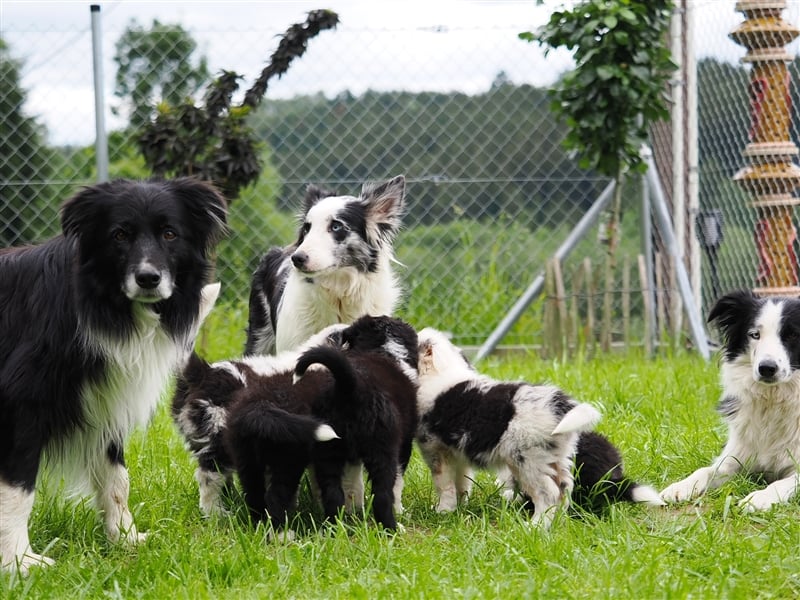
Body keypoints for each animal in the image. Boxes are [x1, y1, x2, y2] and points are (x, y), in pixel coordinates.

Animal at [0, 179, 225, 576]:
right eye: (120, 235)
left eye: (170, 233)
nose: (148, 279)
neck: (103, 302)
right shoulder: (21, 401)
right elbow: (18, 488)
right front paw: (21, 563)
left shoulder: (105, 397)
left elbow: (116, 477)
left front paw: (126, 539)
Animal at [294, 314, 418, 528]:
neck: (383, 351)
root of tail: (351, 386)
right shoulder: (404, 445)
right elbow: (398, 483)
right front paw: (401, 511)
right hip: (382, 448)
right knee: (382, 494)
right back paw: (392, 528)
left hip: (328, 449)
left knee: (332, 493)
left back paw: (334, 527)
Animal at [416, 326, 604, 528]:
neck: (439, 372)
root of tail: (561, 404)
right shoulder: (456, 454)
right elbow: (461, 482)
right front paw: (458, 508)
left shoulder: (436, 452)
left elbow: (444, 484)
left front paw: (443, 511)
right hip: (557, 457)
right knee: (565, 489)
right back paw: (557, 523)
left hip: (529, 460)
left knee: (549, 493)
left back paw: (535, 526)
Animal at [660, 290, 800, 510]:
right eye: (755, 334)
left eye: (793, 334)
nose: (766, 368)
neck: (774, 399)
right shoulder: (737, 456)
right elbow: (705, 470)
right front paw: (680, 487)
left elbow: (783, 482)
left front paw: (759, 498)